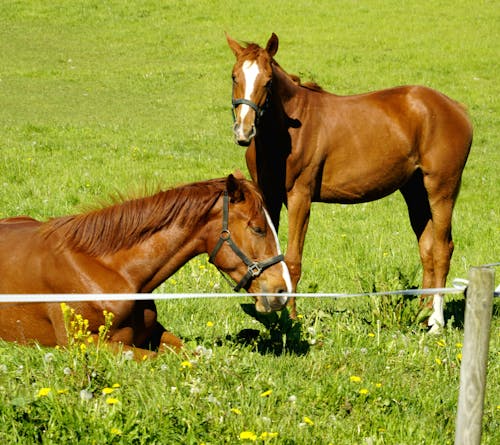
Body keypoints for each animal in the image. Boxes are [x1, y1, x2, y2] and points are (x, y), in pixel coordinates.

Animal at [0, 173, 290, 358]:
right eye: (258, 228)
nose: (282, 291)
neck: (111, 270)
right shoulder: (82, 343)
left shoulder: (154, 332)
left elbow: (191, 352)